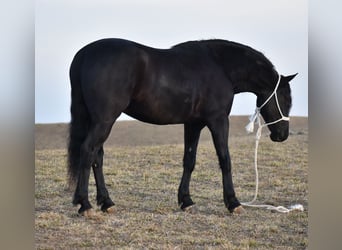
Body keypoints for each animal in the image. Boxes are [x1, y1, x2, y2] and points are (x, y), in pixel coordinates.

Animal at [67, 38, 296, 216]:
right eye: (285, 99)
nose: (282, 135)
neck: (220, 66)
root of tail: (84, 54)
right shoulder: (218, 120)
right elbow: (225, 159)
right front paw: (233, 203)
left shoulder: (193, 124)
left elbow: (189, 160)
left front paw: (186, 201)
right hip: (104, 120)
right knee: (88, 151)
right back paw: (85, 204)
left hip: (97, 121)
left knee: (97, 156)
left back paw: (106, 202)